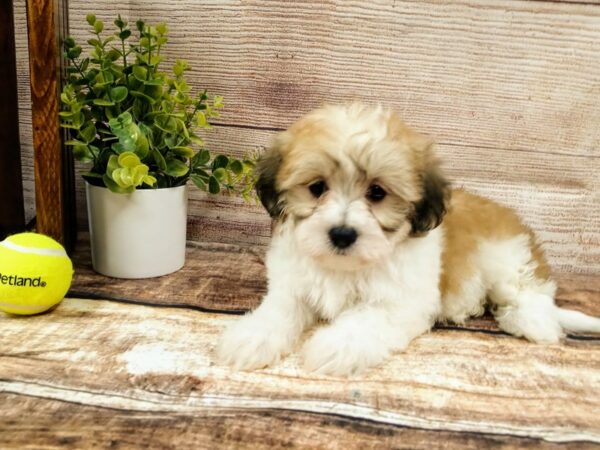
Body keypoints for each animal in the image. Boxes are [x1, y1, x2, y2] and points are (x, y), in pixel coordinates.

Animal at [216, 103, 600, 374]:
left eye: (377, 192)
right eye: (317, 188)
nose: (342, 234)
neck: (345, 266)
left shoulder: (402, 301)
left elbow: (367, 318)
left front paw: (338, 345)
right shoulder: (293, 285)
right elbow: (280, 310)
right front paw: (252, 337)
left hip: (506, 258)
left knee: (528, 294)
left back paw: (533, 322)